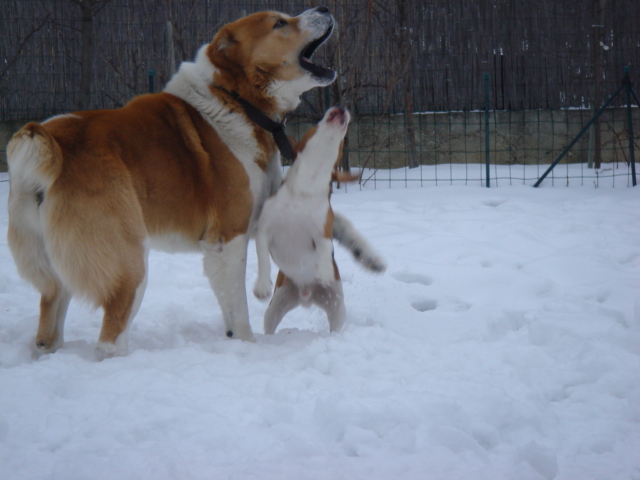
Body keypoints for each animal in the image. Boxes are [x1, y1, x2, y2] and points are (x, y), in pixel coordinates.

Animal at [254, 107, 384, 334]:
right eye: (315, 125)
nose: (340, 108)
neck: (304, 190)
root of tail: (305, 296)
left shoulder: (322, 231)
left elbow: (324, 247)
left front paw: (324, 271)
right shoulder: (264, 230)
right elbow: (262, 258)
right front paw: (261, 285)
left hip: (336, 307)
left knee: (335, 324)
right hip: (276, 305)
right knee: (270, 324)